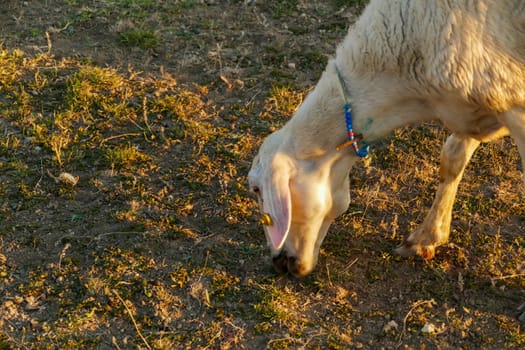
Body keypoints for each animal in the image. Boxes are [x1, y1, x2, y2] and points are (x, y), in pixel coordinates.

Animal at [249, 0, 524, 284]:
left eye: (256, 189)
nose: (278, 263)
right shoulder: (473, 96)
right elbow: (452, 160)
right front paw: (427, 237)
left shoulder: (513, 105)